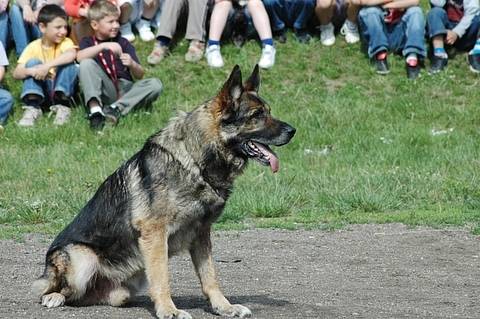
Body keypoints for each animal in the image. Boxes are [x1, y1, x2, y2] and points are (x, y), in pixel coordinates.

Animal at [31, 65, 294, 319]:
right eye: (257, 115)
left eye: (268, 111)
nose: (293, 131)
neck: (195, 161)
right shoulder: (155, 234)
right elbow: (162, 278)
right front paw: (169, 310)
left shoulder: (201, 235)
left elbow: (210, 278)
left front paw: (224, 307)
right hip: (81, 259)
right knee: (55, 290)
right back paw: (52, 297)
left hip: (123, 289)